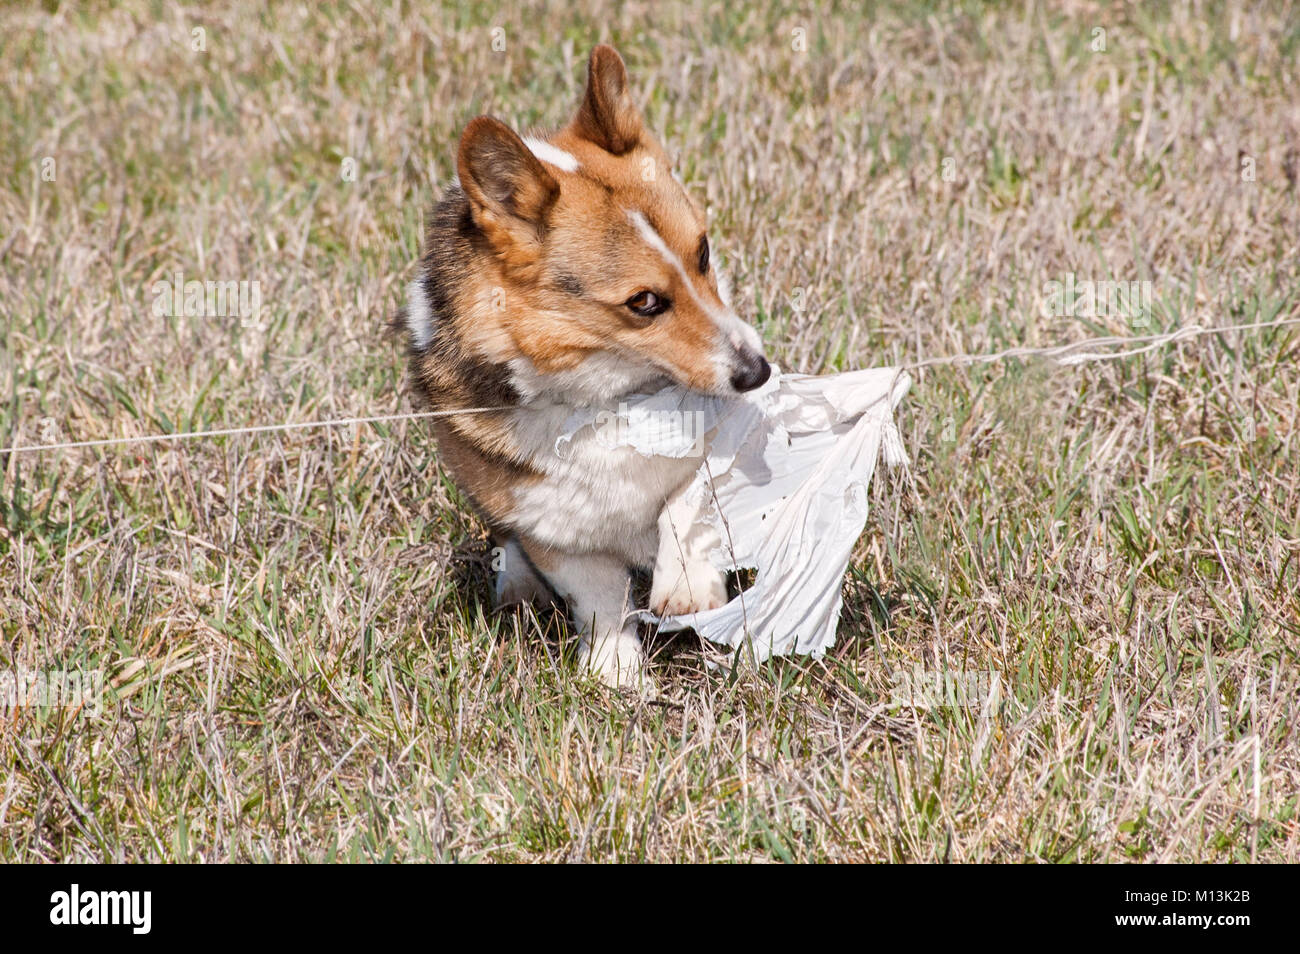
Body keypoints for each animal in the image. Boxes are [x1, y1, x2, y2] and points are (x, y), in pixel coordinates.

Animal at [400, 46, 764, 686]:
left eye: (702, 253)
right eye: (643, 302)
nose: (759, 372)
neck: (603, 395)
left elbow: (689, 497)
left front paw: (688, 591)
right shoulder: (555, 529)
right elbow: (599, 598)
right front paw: (617, 674)